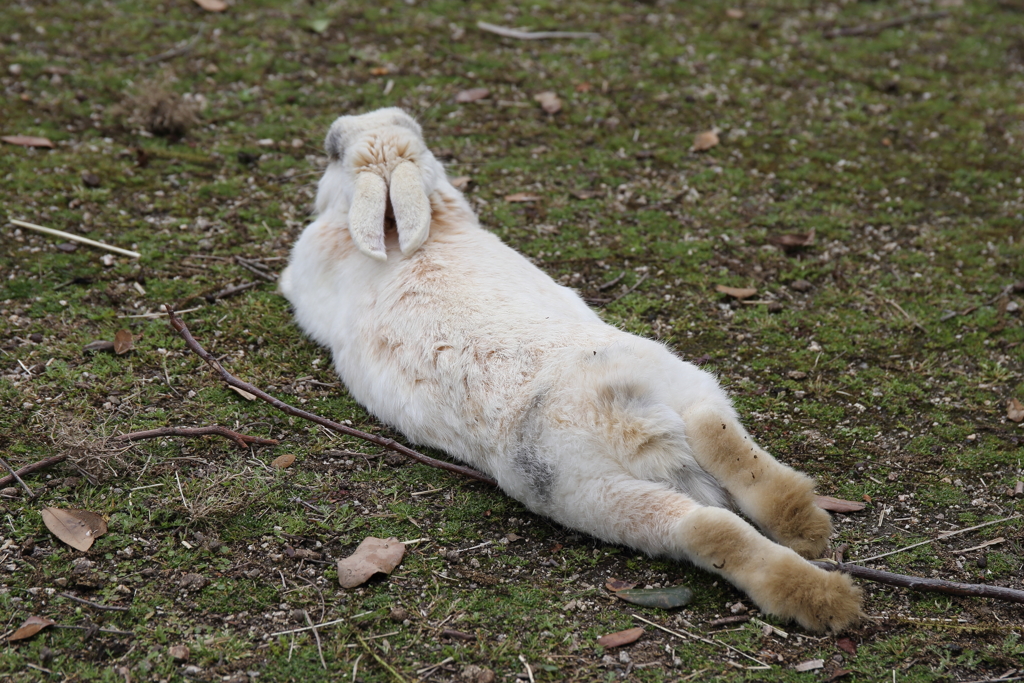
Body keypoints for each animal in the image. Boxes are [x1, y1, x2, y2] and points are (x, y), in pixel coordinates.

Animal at [280, 107, 864, 634]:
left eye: (333, 152)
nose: (338, 129)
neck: (397, 233)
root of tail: (616, 415)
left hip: (583, 491)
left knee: (708, 523)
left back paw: (823, 598)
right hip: (644, 431)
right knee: (715, 460)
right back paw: (810, 539)